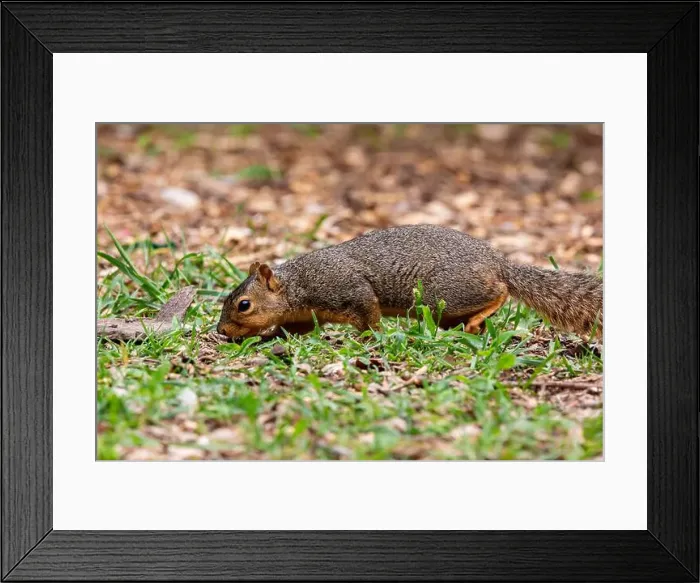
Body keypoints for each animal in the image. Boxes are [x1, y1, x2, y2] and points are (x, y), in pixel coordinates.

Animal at [217, 224, 602, 341]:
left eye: (244, 305)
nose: (221, 331)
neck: (296, 286)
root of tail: (497, 262)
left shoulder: (346, 288)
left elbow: (369, 314)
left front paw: (369, 339)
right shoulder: (306, 316)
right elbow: (293, 330)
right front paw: (267, 337)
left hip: (444, 293)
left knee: (501, 292)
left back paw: (479, 317)